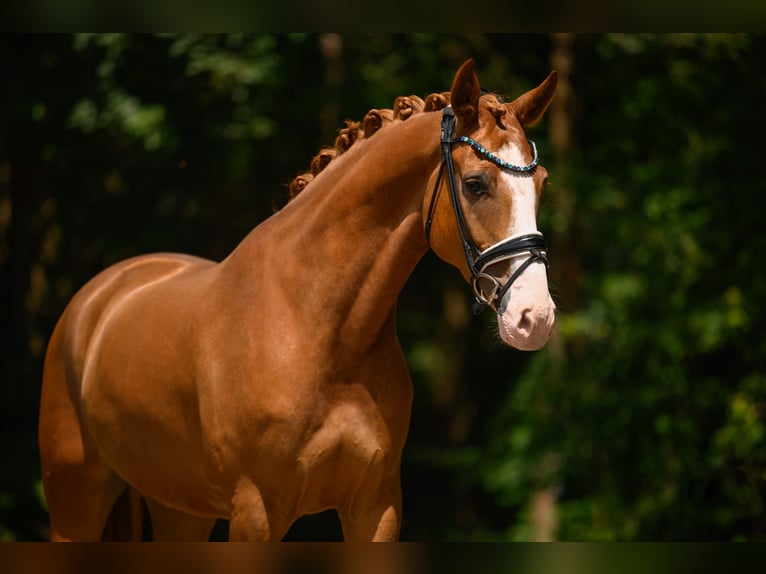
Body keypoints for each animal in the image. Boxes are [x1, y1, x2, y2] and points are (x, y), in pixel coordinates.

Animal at [37, 60, 560, 544]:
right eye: (475, 183)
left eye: (541, 184)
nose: (534, 318)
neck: (316, 327)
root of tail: (98, 297)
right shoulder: (256, 512)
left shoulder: (376, 508)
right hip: (75, 504)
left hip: (179, 508)